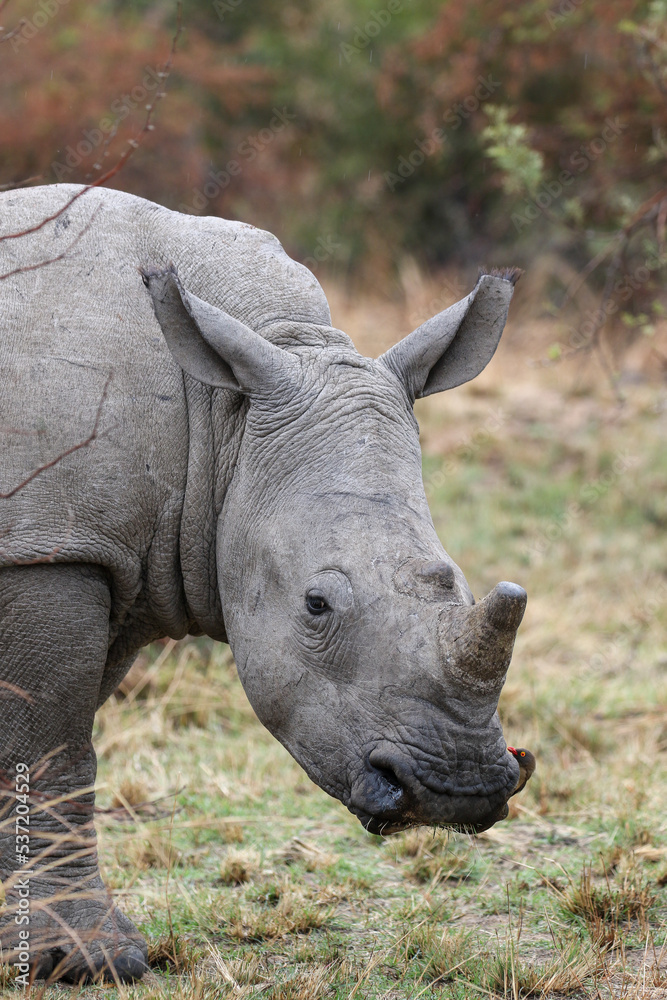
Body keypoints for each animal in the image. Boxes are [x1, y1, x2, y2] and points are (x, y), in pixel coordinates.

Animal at [0, 184, 529, 984]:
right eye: (316, 605)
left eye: (458, 587)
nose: (456, 790)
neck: (226, 423)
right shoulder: (50, 547)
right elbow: (54, 748)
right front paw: (87, 961)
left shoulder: (109, 556)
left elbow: (44, 744)